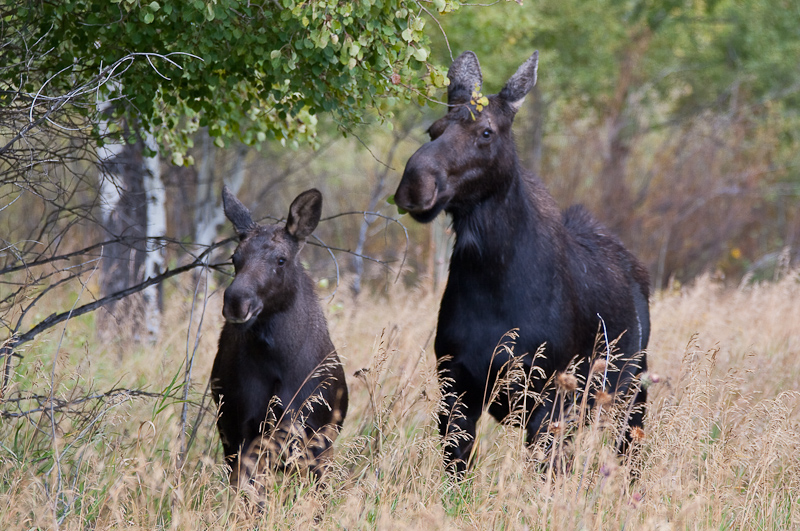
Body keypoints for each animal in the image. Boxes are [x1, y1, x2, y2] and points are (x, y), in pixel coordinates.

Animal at [211, 186, 348, 486]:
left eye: (281, 259)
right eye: (234, 258)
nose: (236, 300)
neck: (278, 364)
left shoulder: (316, 435)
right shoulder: (243, 429)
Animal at [394, 48, 648, 474]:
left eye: (486, 132)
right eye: (433, 129)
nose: (415, 183)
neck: (492, 280)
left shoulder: (549, 398)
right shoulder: (456, 388)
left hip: (630, 392)